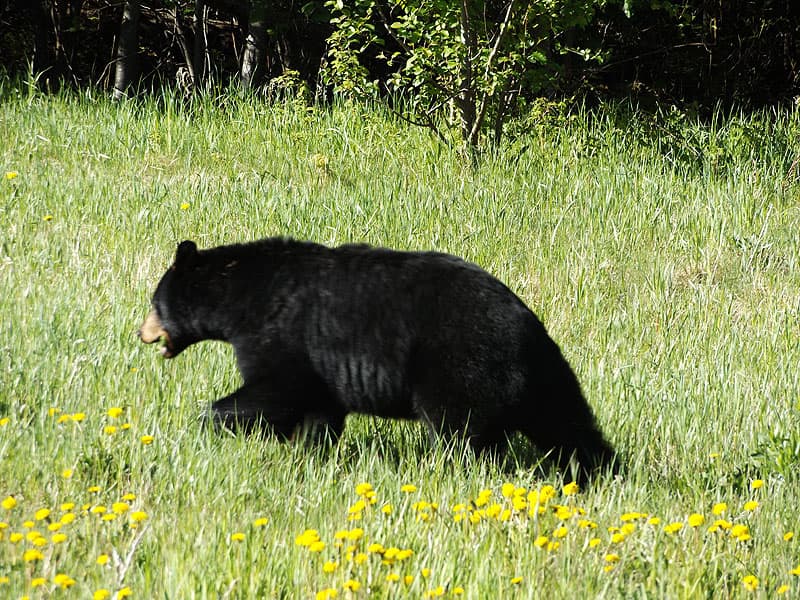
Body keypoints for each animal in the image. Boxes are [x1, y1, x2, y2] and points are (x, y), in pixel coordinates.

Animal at [138, 239, 616, 478]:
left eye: (154, 301)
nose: (140, 332)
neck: (241, 293)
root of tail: (528, 325)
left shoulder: (282, 332)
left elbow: (275, 391)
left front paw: (207, 422)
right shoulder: (323, 372)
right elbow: (320, 411)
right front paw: (312, 453)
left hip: (461, 366)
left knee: (461, 432)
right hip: (543, 379)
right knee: (567, 422)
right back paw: (598, 470)